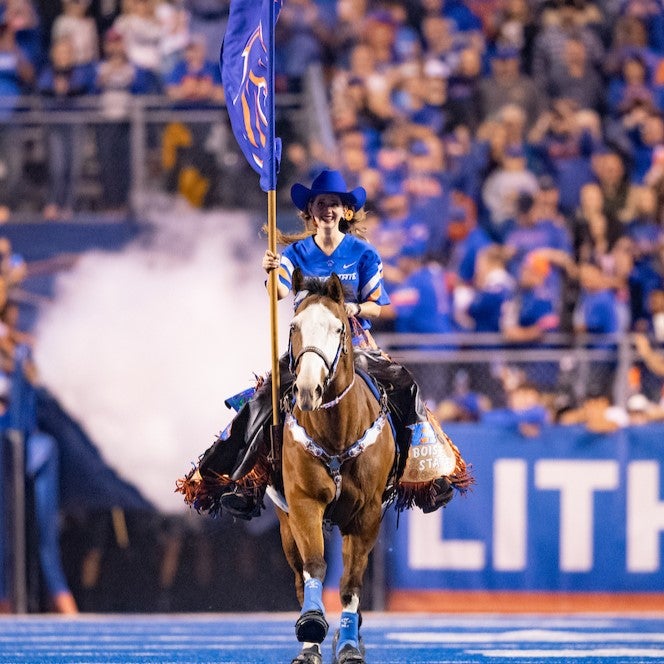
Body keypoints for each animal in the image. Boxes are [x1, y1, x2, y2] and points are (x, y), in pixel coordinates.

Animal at [274, 270, 394, 664]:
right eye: (293, 326)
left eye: (339, 327)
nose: (307, 389)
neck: (337, 432)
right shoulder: (303, 503)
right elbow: (314, 566)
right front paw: (312, 627)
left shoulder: (367, 514)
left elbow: (350, 585)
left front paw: (350, 647)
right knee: (300, 576)